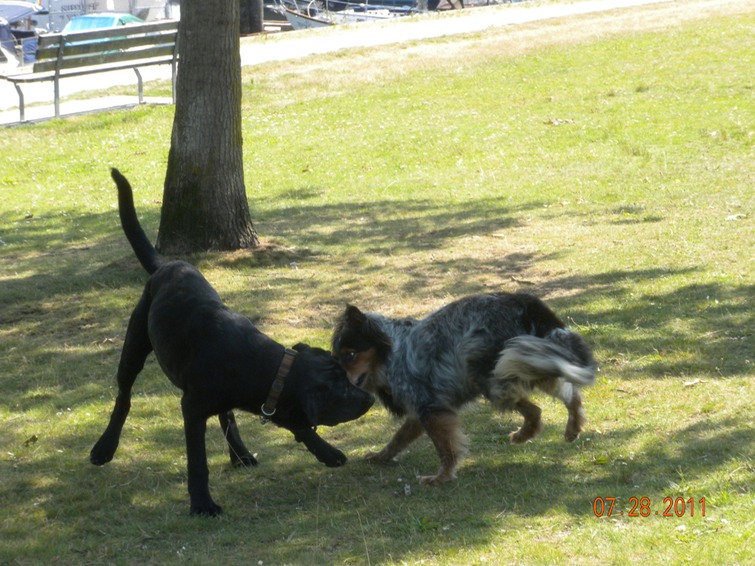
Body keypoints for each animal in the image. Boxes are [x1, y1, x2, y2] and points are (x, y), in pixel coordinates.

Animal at [90, 166, 374, 516]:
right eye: (342, 390)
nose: (370, 398)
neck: (263, 366)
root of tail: (168, 263)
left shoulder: (270, 401)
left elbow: (298, 425)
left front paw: (326, 451)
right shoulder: (192, 408)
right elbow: (198, 461)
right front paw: (202, 503)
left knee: (227, 417)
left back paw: (241, 453)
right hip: (134, 345)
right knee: (124, 397)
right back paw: (105, 447)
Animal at [330, 296, 596, 486]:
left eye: (350, 355)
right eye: (338, 359)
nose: (342, 381)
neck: (391, 354)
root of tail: (525, 302)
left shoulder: (431, 409)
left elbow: (446, 448)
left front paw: (441, 477)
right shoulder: (419, 411)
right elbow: (398, 439)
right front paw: (381, 456)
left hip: (496, 374)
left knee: (536, 410)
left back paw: (526, 433)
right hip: (534, 357)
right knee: (570, 395)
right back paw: (570, 428)